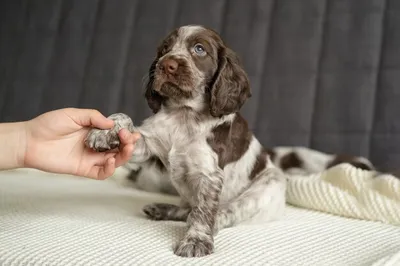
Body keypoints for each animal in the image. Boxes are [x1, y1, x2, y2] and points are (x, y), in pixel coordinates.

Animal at [85, 25, 288, 258]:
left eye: (199, 49)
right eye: (165, 49)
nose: (166, 64)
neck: (184, 114)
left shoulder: (209, 174)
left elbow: (203, 212)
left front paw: (196, 241)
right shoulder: (147, 144)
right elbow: (123, 117)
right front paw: (102, 132)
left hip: (267, 186)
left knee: (224, 212)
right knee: (187, 209)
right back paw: (163, 209)